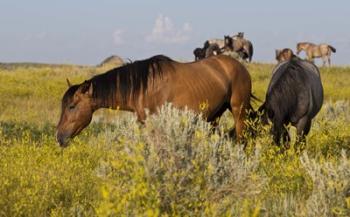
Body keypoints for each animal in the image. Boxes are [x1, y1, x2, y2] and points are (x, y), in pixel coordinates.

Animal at [56, 53, 256, 147]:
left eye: (72, 106)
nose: (59, 137)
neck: (144, 87)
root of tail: (239, 66)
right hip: (214, 117)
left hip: (239, 111)